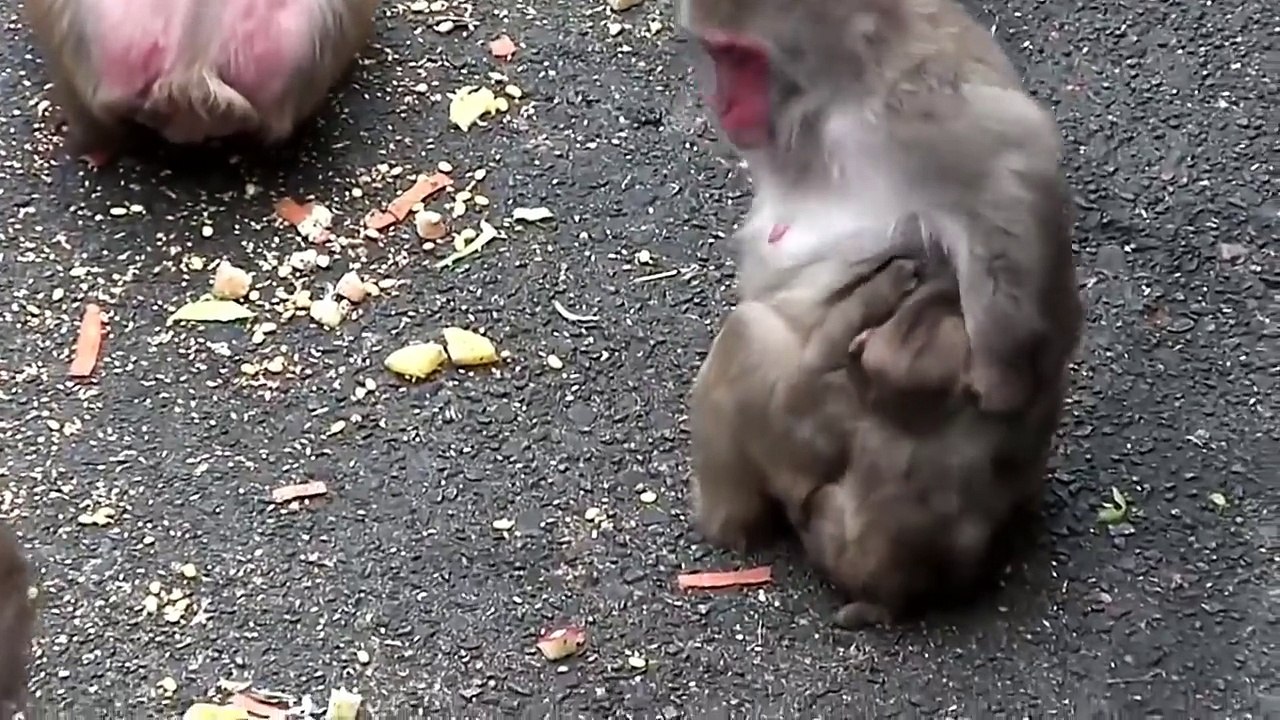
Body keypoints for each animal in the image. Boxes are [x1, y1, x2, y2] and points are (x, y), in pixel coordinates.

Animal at [676, 0, 1082, 415]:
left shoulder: (911, 114)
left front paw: (999, 375)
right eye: (716, 53)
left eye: (741, 56)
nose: (722, 104)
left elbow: (1008, 170)